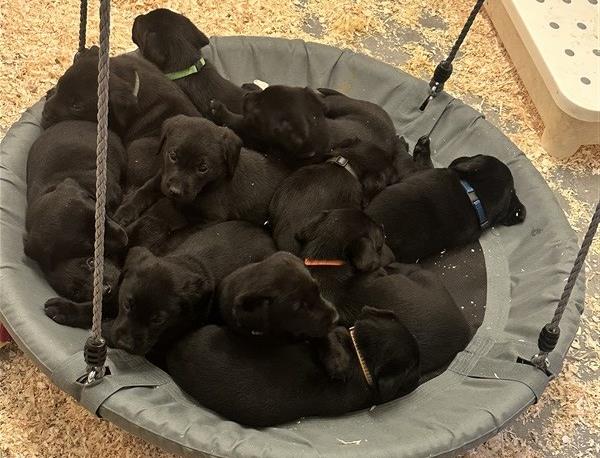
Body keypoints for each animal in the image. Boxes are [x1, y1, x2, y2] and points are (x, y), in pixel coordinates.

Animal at [114, 115, 290, 227]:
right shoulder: (161, 179)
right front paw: (124, 212)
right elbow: (143, 191)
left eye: (203, 168)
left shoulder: (212, 219)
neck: (209, 186)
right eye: (172, 156)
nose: (175, 191)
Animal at [210, 85, 399, 167]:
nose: (247, 96)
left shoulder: (254, 132)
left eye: (258, 114)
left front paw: (218, 109)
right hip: (333, 105)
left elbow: (236, 121)